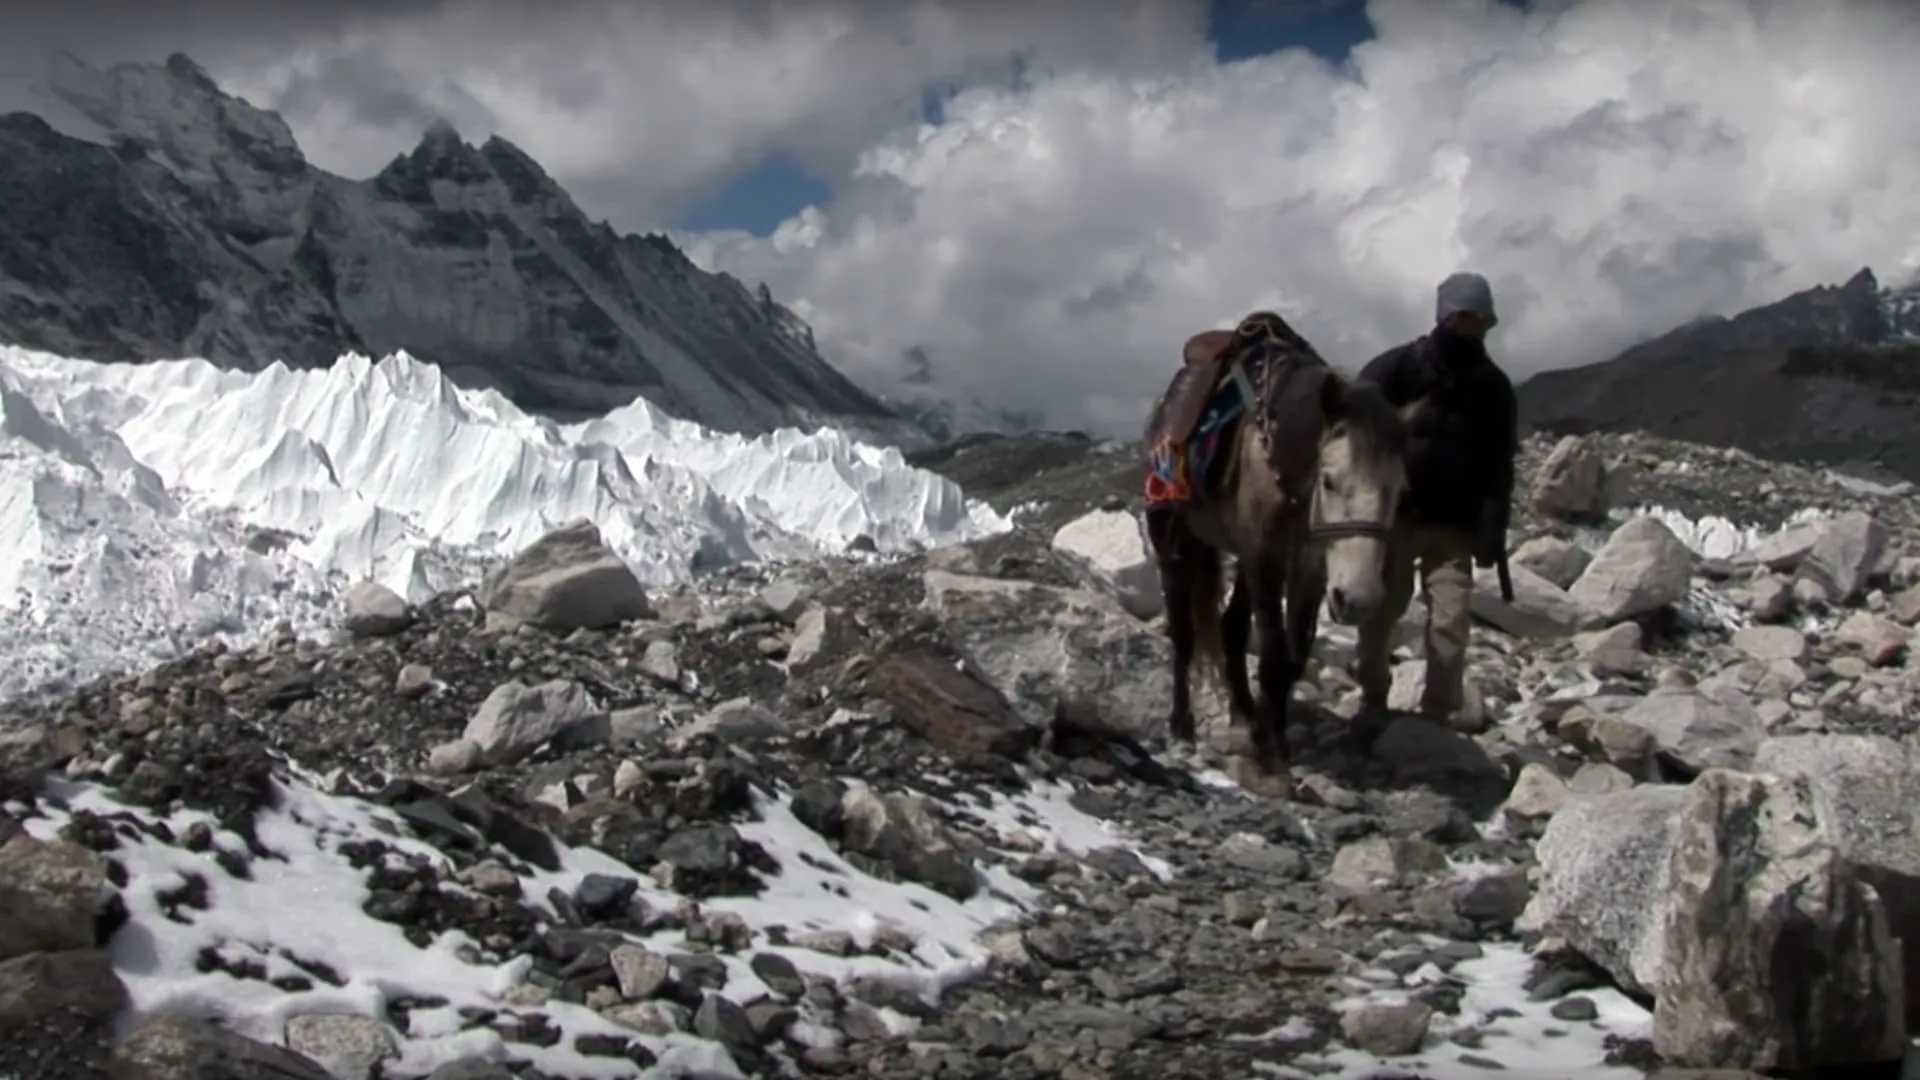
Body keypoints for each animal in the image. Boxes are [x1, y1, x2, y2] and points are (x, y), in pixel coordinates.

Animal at [1136, 311, 1413, 772]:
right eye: (1330, 480)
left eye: (1400, 491)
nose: (1358, 600)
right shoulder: (1265, 559)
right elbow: (1271, 652)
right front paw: (1269, 746)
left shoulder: (1310, 568)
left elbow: (1293, 656)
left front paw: (1272, 733)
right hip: (1176, 540)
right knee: (1184, 634)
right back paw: (1182, 727)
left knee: (1230, 629)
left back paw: (1245, 713)